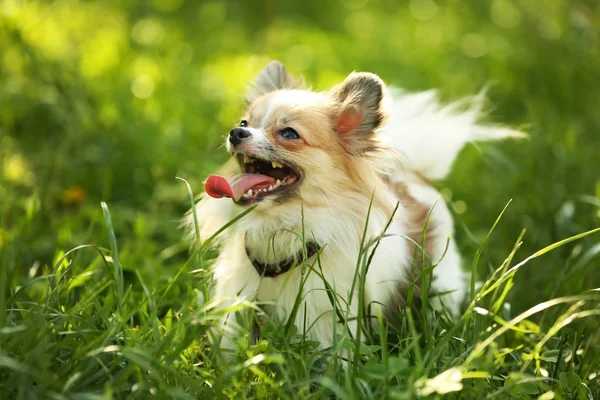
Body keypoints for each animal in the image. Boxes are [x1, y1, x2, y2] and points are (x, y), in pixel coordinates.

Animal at [185, 61, 524, 356]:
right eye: (244, 123)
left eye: (289, 133)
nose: (236, 133)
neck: (282, 225)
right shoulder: (240, 305)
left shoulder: (324, 315)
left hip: (439, 278)